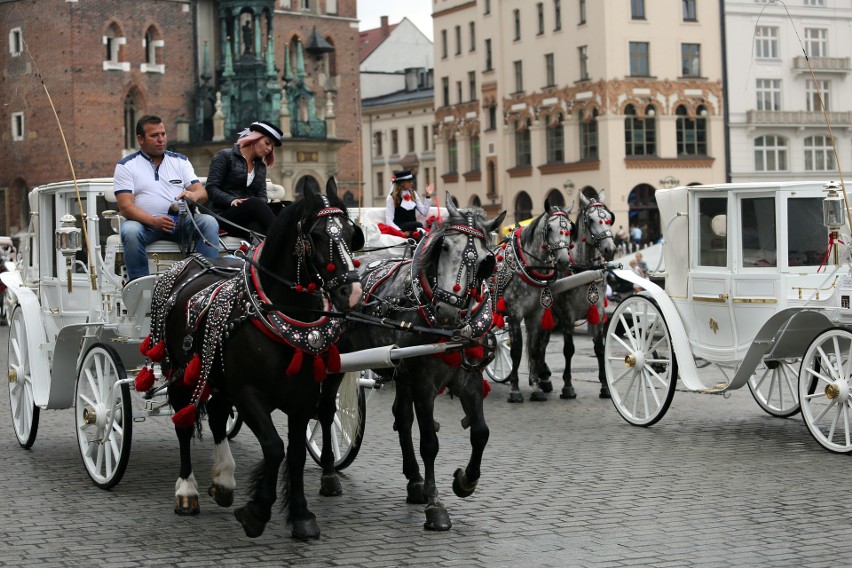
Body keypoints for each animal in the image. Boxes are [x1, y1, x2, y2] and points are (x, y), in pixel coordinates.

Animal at [143, 176, 362, 536]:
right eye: (316, 236)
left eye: (349, 232)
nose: (353, 292)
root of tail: (190, 262)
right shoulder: (248, 394)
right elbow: (274, 448)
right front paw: (256, 512)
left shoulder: (303, 398)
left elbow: (296, 453)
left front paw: (301, 515)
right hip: (177, 370)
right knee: (184, 423)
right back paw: (187, 491)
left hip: (217, 375)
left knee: (217, 414)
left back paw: (223, 480)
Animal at [318, 196, 506, 532]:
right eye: (444, 247)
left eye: (487, 260)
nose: (446, 307)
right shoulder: (424, 384)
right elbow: (430, 442)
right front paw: (436, 506)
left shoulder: (468, 379)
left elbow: (480, 433)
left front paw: (465, 481)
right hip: (337, 360)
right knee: (327, 409)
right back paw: (328, 473)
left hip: (401, 372)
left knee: (402, 418)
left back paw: (415, 481)